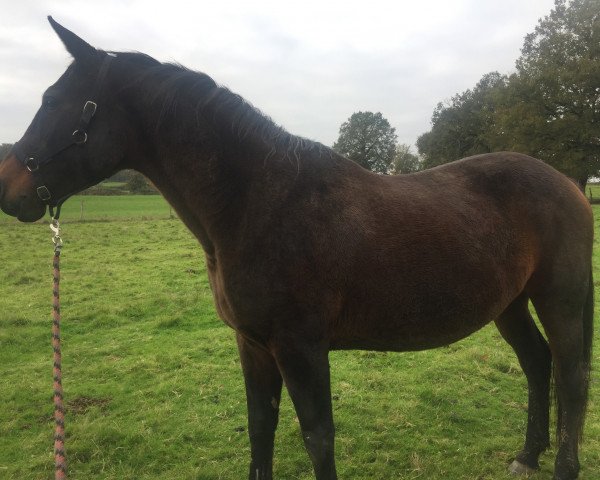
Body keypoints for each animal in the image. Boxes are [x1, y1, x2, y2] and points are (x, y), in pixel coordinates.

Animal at [0, 16, 592, 478]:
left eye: (54, 101)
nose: (9, 190)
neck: (261, 204)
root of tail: (571, 184)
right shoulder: (254, 345)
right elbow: (261, 428)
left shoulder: (301, 349)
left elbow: (317, 438)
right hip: (509, 303)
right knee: (537, 364)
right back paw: (526, 456)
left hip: (560, 298)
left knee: (571, 377)